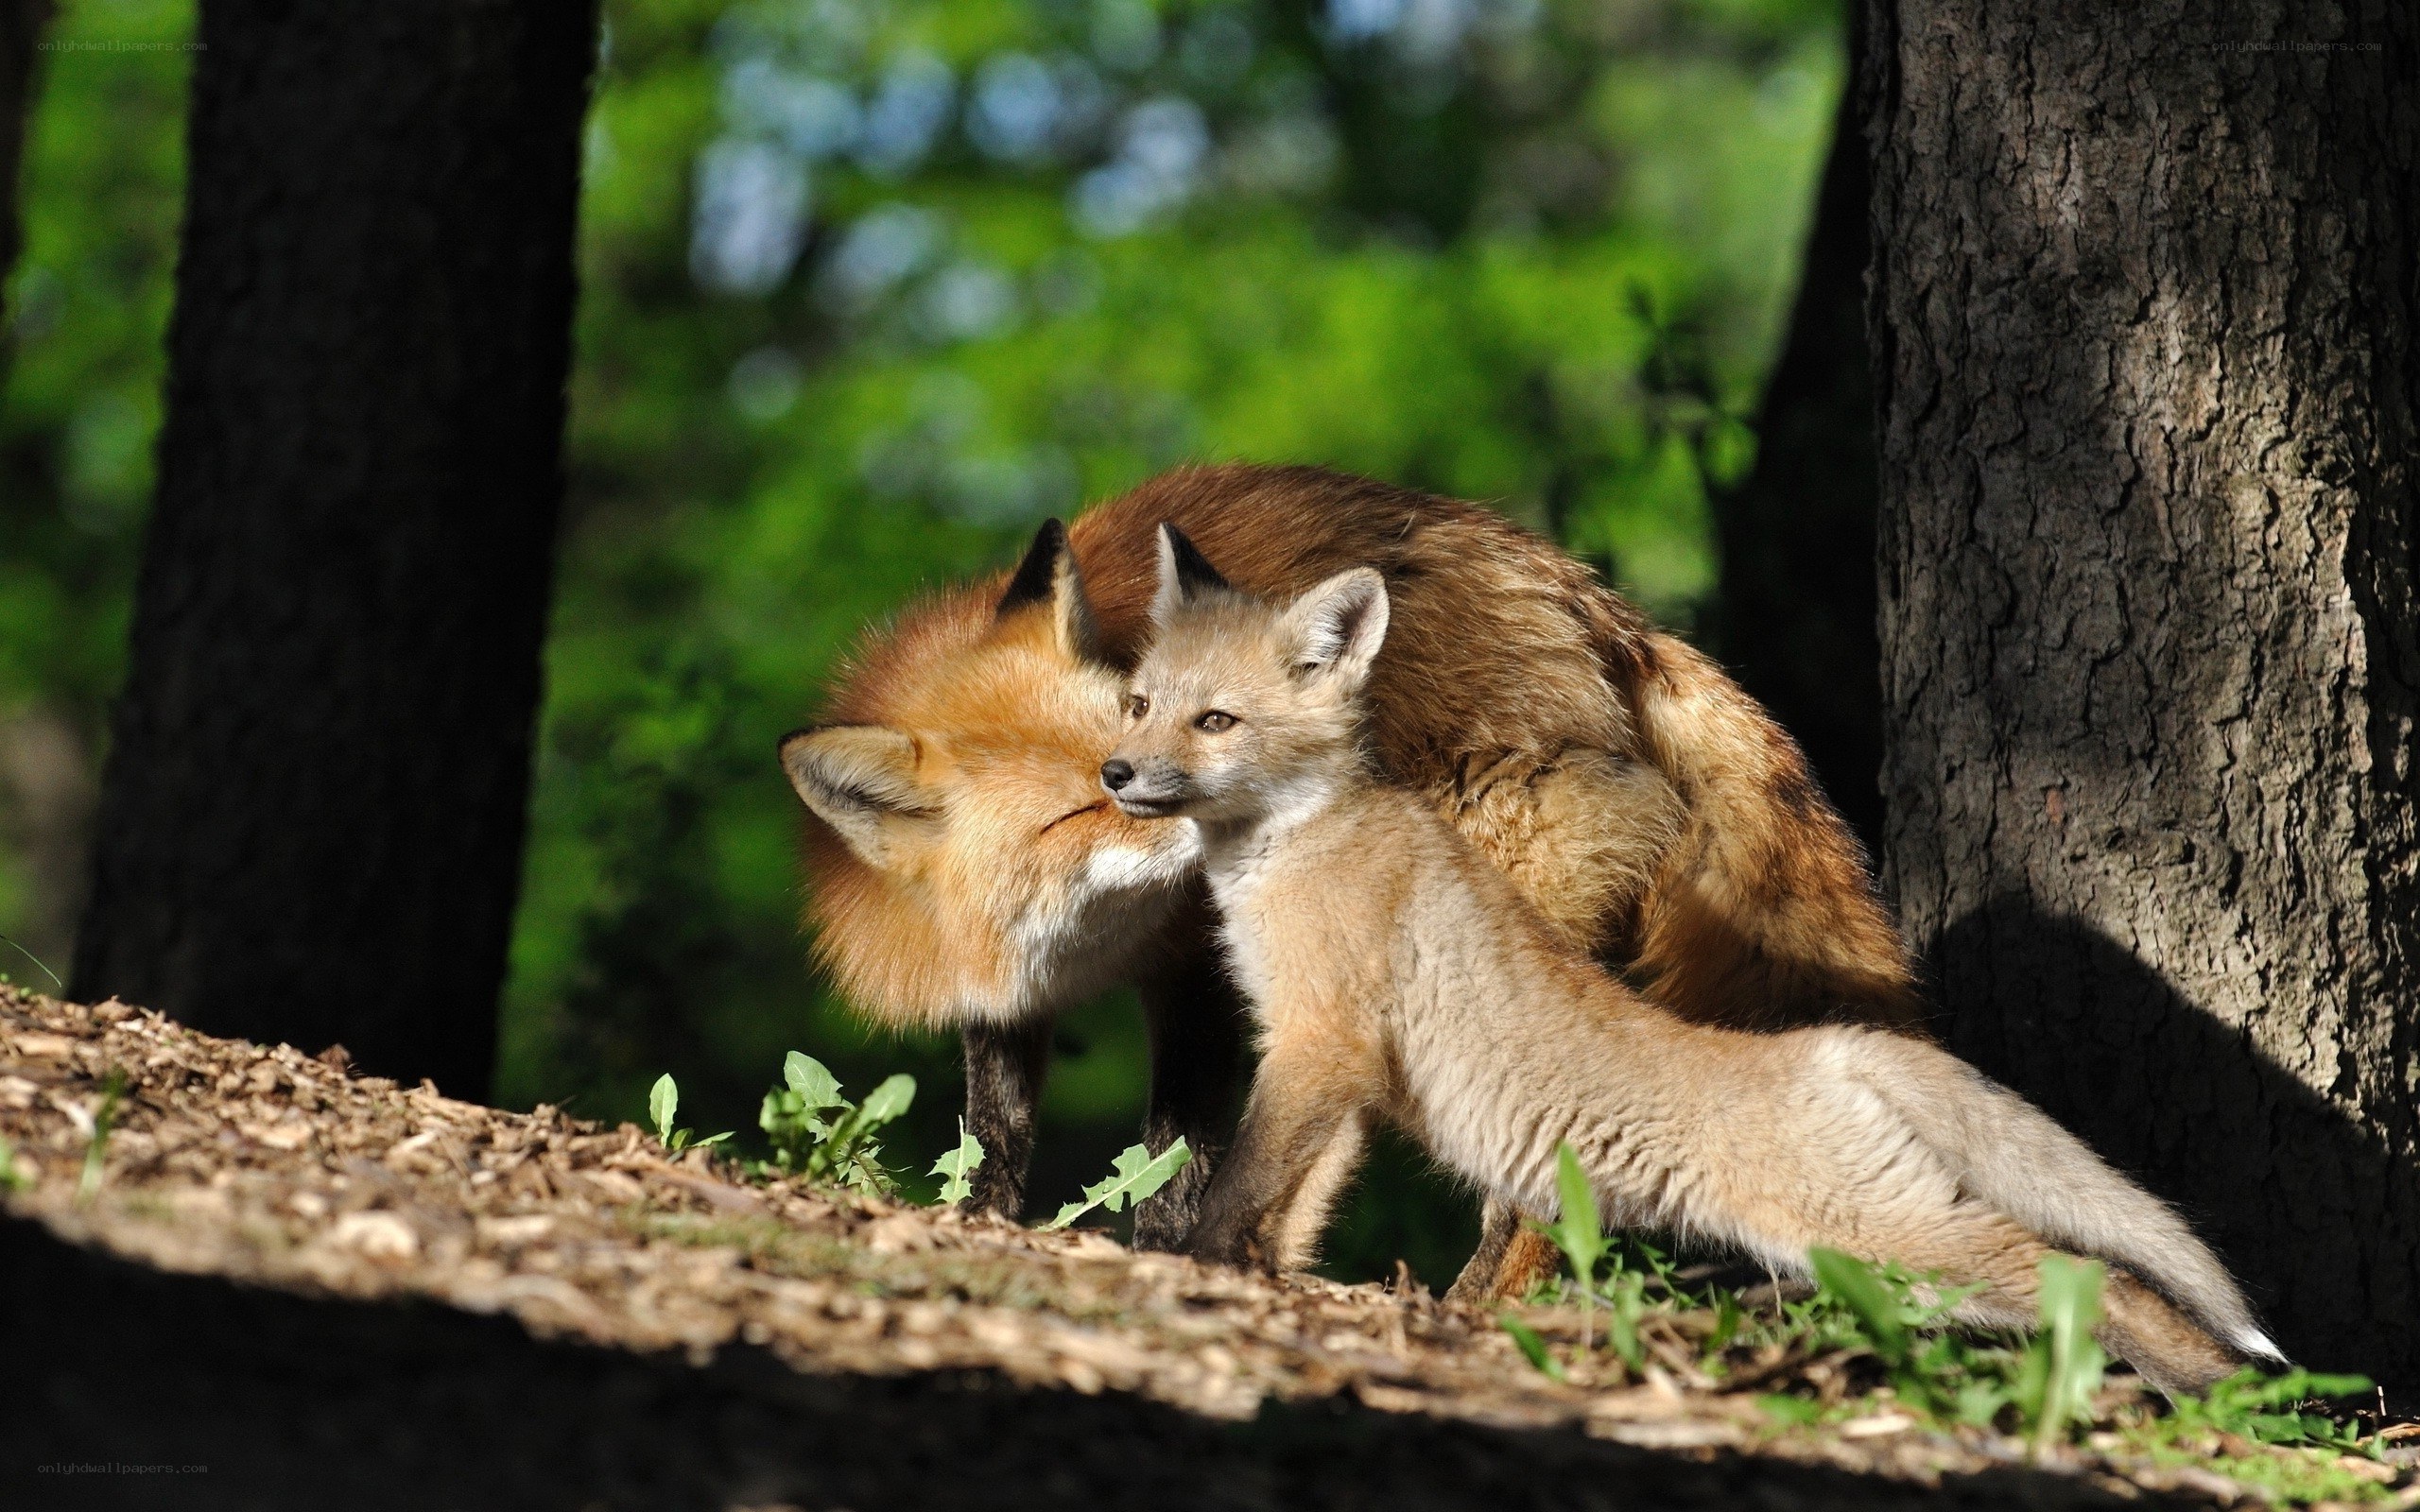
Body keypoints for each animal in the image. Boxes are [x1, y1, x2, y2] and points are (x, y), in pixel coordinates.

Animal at [780, 463, 1921, 1291]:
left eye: (1141, 735)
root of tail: (1597, 606)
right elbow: (996, 1130)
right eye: (1075, 805)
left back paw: (1474, 1311)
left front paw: (1159, 1254)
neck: (1076, 945)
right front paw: (977, 1222)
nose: (1197, 815)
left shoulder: (1195, 970)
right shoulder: (1003, 994)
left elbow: (1175, 1154)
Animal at [1100, 525, 2282, 1394]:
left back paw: (2231, 1396)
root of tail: (1830, 1047)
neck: (1298, 846)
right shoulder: (1343, 1071)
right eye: (1141, 703)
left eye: (1217, 721)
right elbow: (1295, 1206)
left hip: (1873, 1229)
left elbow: (1239, 1186)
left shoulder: (1321, 1040)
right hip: (1868, 1251)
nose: (1115, 772)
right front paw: (1278, 1286)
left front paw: (1189, 1267)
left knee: (2101, 1280)